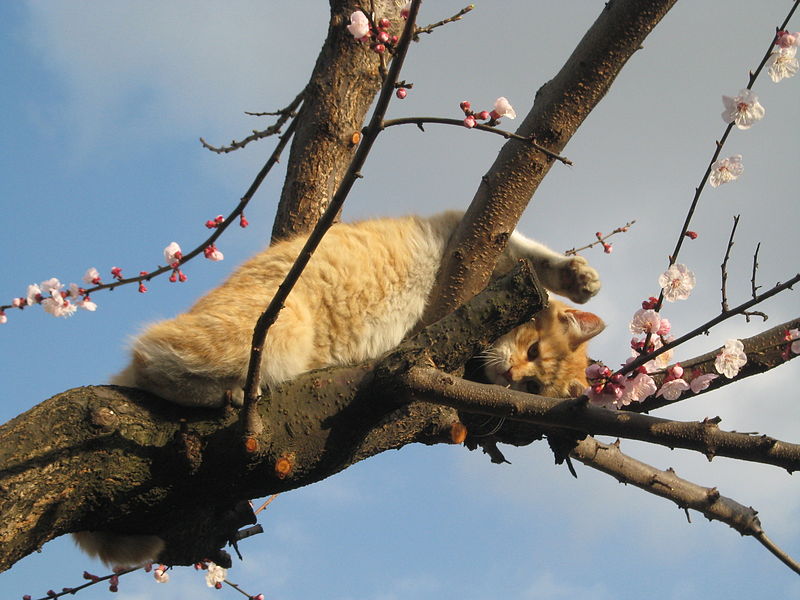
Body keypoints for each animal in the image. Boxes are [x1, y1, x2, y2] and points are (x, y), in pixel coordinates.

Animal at [76, 211, 600, 568]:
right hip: (273, 331)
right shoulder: (466, 230)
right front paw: (577, 276)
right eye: (532, 349)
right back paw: (228, 392)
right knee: (149, 355)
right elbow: (529, 249)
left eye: (532, 384)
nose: (511, 378)